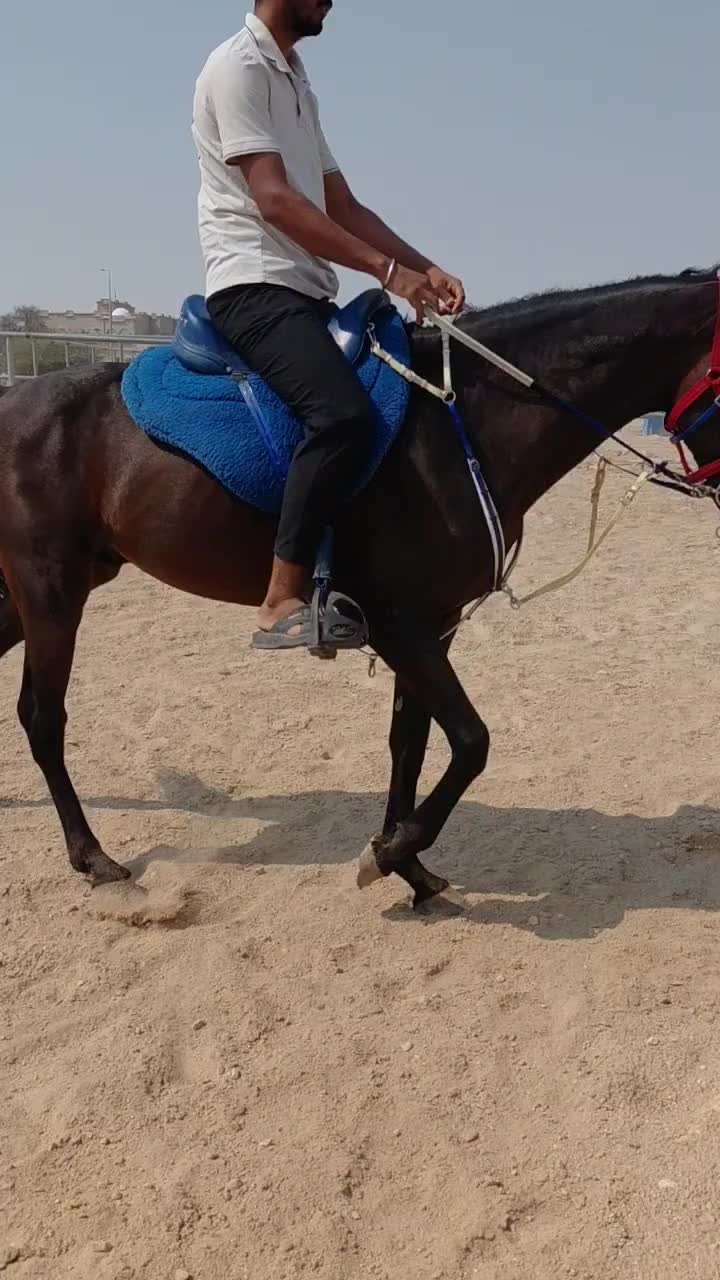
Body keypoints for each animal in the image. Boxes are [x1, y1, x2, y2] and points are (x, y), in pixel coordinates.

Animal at [0, 267, 718, 907]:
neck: (464, 421)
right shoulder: (400, 624)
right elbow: (471, 741)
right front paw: (394, 852)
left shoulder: (433, 625)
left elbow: (412, 742)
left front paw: (408, 863)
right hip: (51, 591)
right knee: (42, 716)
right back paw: (92, 856)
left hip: (42, 589)